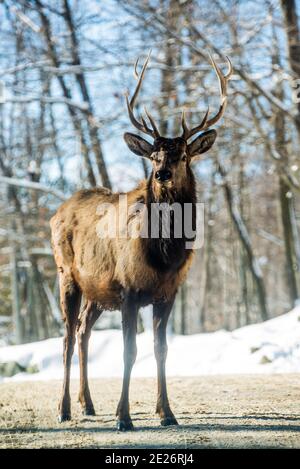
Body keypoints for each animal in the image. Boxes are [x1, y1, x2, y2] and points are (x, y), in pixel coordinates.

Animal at [50, 50, 232, 428]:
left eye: (183, 154)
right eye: (154, 155)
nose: (161, 173)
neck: (164, 256)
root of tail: (56, 212)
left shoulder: (168, 292)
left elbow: (161, 349)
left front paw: (167, 413)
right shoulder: (130, 289)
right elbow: (128, 350)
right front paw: (124, 417)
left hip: (97, 291)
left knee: (83, 332)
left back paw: (88, 404)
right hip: (67, 275)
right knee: (67, 338)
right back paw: (64, 408)